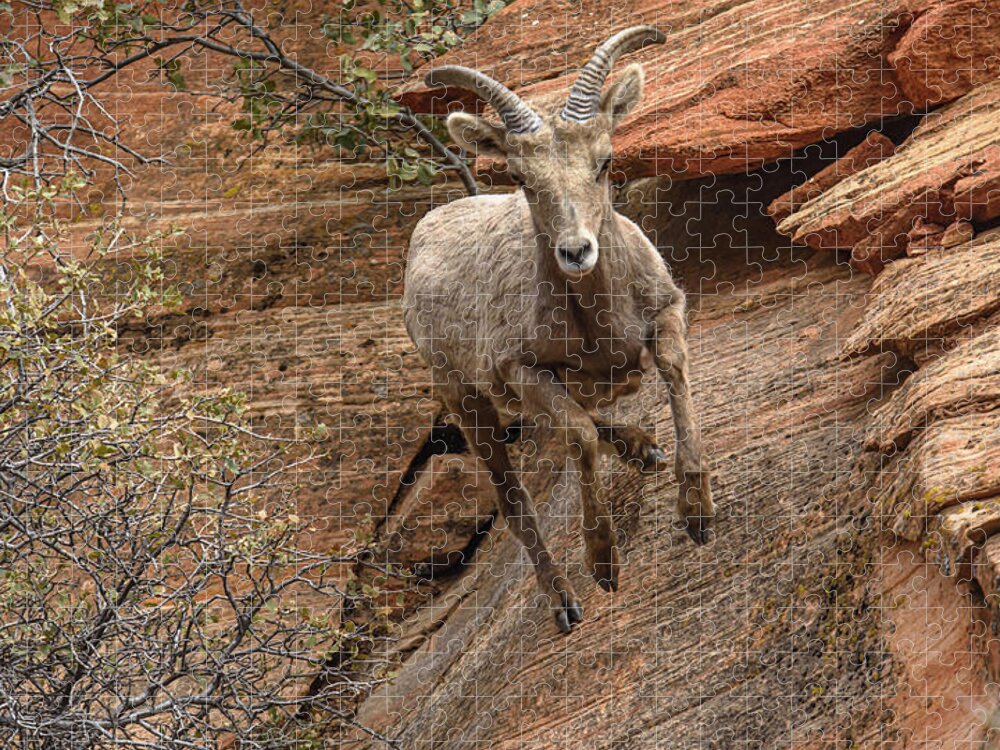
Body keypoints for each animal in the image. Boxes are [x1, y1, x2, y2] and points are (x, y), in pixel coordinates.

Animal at [402, 26, 713, 632]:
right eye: (520, 178)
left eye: (605, 161)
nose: (576, 252)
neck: (599, 325)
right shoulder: (521, 371)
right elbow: (579, 435)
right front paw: (605, 566)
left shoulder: (666, 313)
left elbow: (673, 373)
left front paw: (697, 514)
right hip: (466, 400)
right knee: (515, 500)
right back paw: (565, 603)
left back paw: (643, 449)